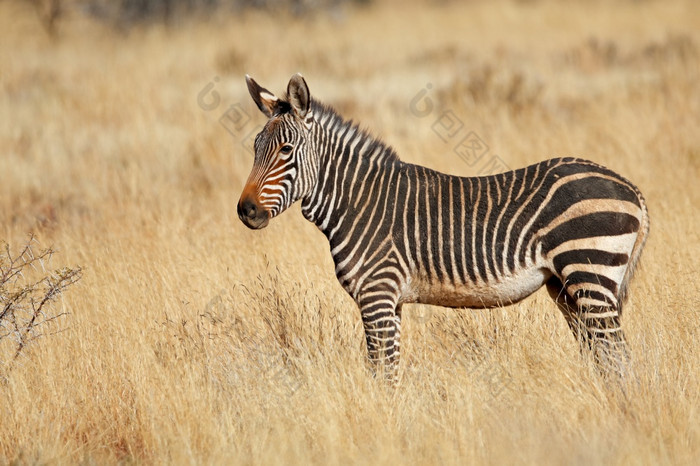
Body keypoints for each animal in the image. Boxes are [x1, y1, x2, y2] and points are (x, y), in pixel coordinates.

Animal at [237, 73, 652, 382]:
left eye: (286, 150)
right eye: (255, 147)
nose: (245, 210)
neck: (358, 202)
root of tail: (629, 187)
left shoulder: (377, 296)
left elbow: (382, 375)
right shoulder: (390, 302)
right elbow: (387, 372)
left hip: (590, 272)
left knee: (619, 360)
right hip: (567, 288)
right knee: (606, 360)